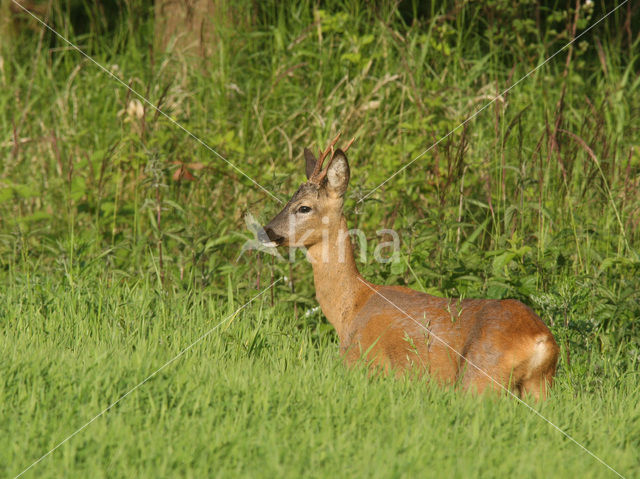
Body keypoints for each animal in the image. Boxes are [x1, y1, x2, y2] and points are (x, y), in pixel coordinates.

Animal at [262, 135, 556, 402]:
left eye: (304, 207)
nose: (267, 230)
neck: (350, 307)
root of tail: (541, 340)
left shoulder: (363, 360)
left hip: (480, 377)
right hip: (539, 386)